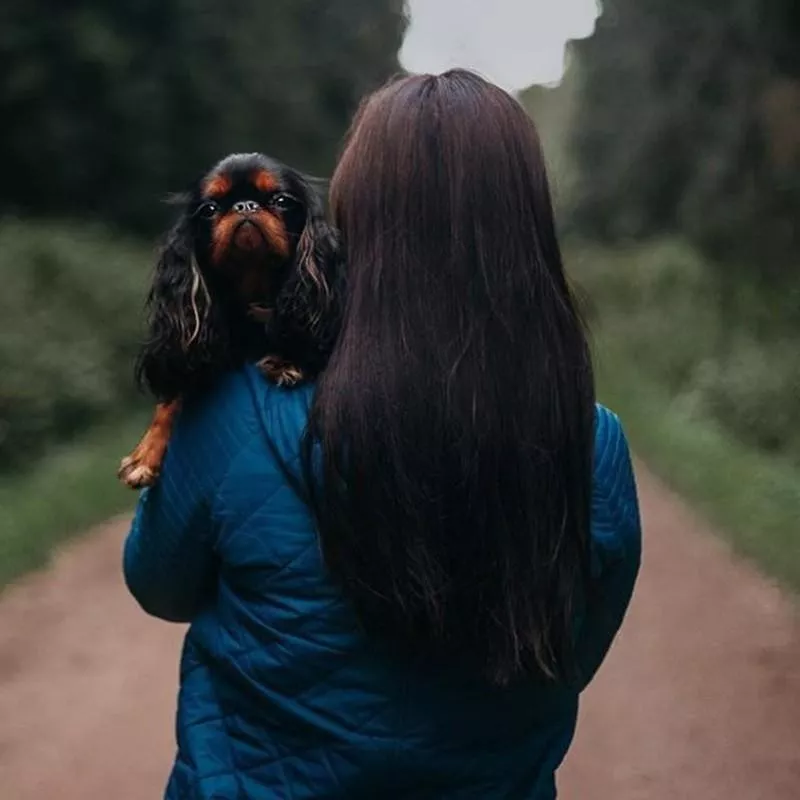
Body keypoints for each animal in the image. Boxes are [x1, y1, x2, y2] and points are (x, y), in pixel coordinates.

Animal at [118, 150, 338, 488]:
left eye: (281, 200)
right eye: (209, 209)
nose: (244, 206)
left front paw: (287, 360)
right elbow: (172, 396)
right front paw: (145, 452)